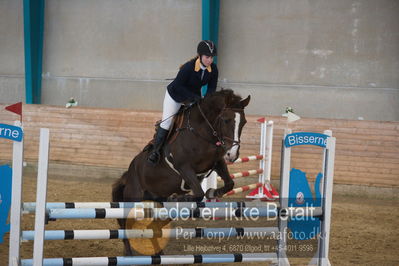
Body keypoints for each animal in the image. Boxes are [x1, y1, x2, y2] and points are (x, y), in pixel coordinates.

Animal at [112, 89, 250, 256]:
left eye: (244, 122)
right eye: (226, 120)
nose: (233, 154)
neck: (202, 133)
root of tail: (128, 175)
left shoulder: (217, 162)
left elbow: (229, 183)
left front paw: (212, 192)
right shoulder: (184, 167)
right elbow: (198, 193)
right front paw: (180, 197)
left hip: (154, 199)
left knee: (155, 224)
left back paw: (158, 253)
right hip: (134, 198)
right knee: (125, 224)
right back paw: (129, 254)